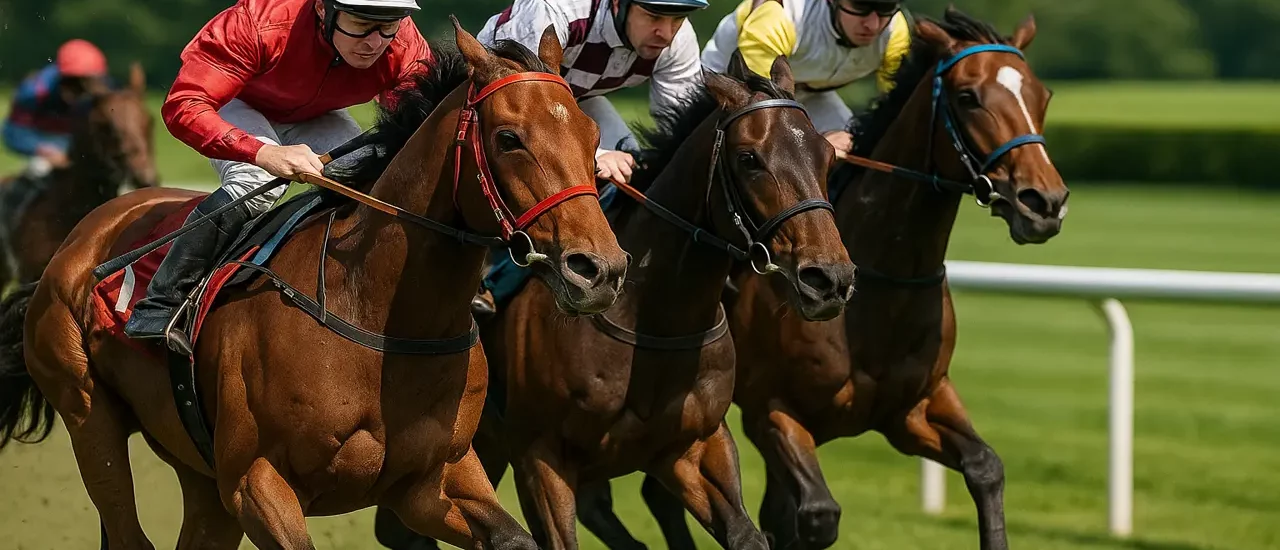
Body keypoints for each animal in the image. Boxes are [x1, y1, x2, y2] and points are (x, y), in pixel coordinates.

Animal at [576, 8, 1070, 550]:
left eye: (1041, 95)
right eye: (968, 97)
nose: (1044, 202)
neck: (886, 284)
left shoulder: (915, 404)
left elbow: (986, 467)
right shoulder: (771, 411)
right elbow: (815, 514)